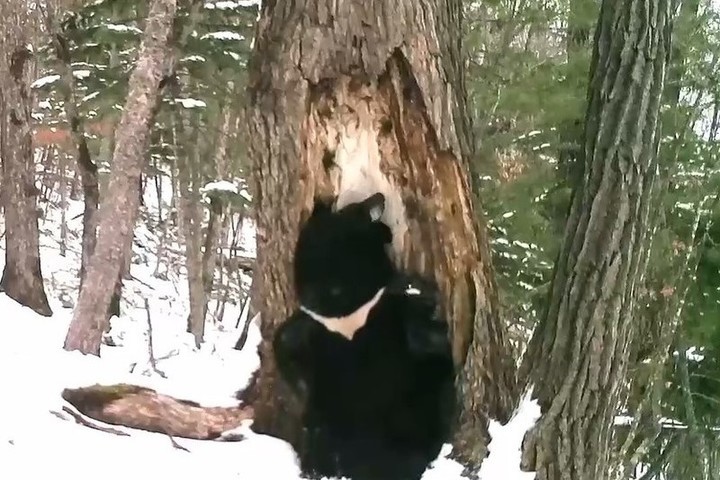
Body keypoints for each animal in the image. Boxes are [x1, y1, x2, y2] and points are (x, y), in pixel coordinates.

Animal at [273, 192, 456, 480]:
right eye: (353, 207)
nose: (378, 196)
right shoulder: (319, 321)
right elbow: (287, 342)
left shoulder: (383, 307)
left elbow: (425, 331)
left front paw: (418, 289)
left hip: (412, 415)